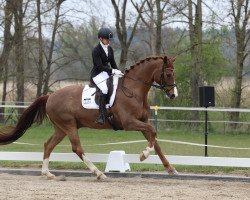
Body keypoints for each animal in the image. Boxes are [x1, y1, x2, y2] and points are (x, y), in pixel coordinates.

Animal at [0, 55, 179, 180]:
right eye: (168, 74)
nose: (173, 95)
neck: (133, 90)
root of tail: (50, 96)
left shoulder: (142, 121)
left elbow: (156, 142)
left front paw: (171, 169)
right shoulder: (130, 123)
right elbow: (153, 132)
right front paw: (143, 155)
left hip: (61, 128)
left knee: (48, 145)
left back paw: (48, 174)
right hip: (69, 125)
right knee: (77, 148)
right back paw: (98, 173)